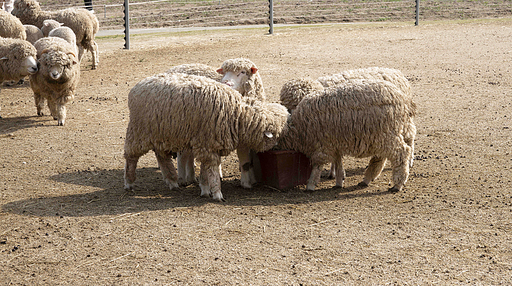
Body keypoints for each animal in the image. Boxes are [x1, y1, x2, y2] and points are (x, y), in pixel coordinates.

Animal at [124, 71, 290, 201]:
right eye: (278, 135)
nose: (278, 148)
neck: (238, 113)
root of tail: (137, 86)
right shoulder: (208, 144)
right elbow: (212, 170)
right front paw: (217, 193)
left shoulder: (208, 143)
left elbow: (205, 170)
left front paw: (204, 189)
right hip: (138, 132)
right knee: (131, 157)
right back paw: (129, 183)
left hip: (162, 133)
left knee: (162, 157)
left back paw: (172, 182)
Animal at [278, 79, 418, 193]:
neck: (298, 127)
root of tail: (400, 97)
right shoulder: (334, 142)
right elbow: (338, 161)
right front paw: (339, 181)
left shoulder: (322, 144)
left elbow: (318, 165)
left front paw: (311, 185)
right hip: (382, 135)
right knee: (381, 156)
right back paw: (367, 179)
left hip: (386, 131)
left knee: (402, 152)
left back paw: (397, 184)